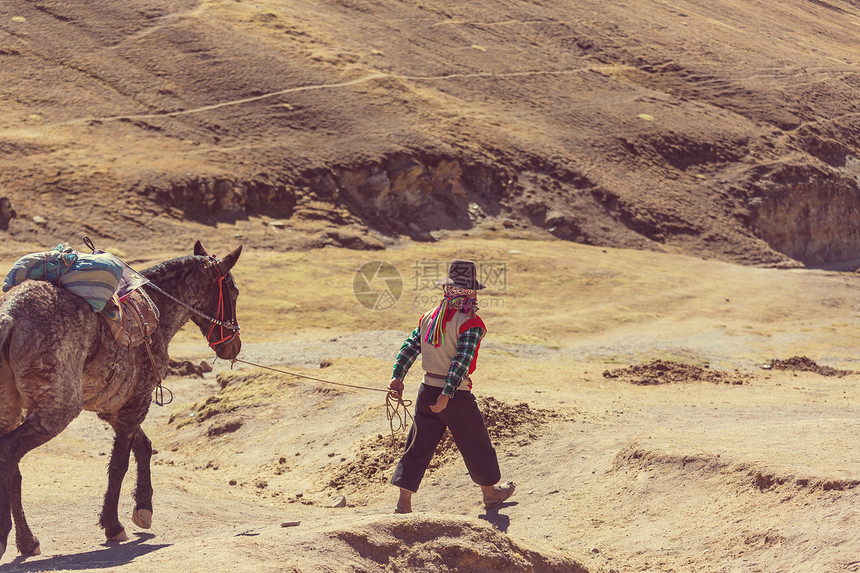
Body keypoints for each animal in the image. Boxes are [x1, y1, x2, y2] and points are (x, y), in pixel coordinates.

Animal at [0, 240, 242, 560]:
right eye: (234, 292)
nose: (233, 346)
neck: (158, 310)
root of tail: (10, 316)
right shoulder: (136, 403)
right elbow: (119, 465)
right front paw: (113, 525)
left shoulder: (117, 407)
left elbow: (143, 446)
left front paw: (143, 509)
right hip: (56, 411)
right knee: (9, 455)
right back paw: (19, 538)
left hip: (10, 410)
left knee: (10, 464)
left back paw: (24, 541)